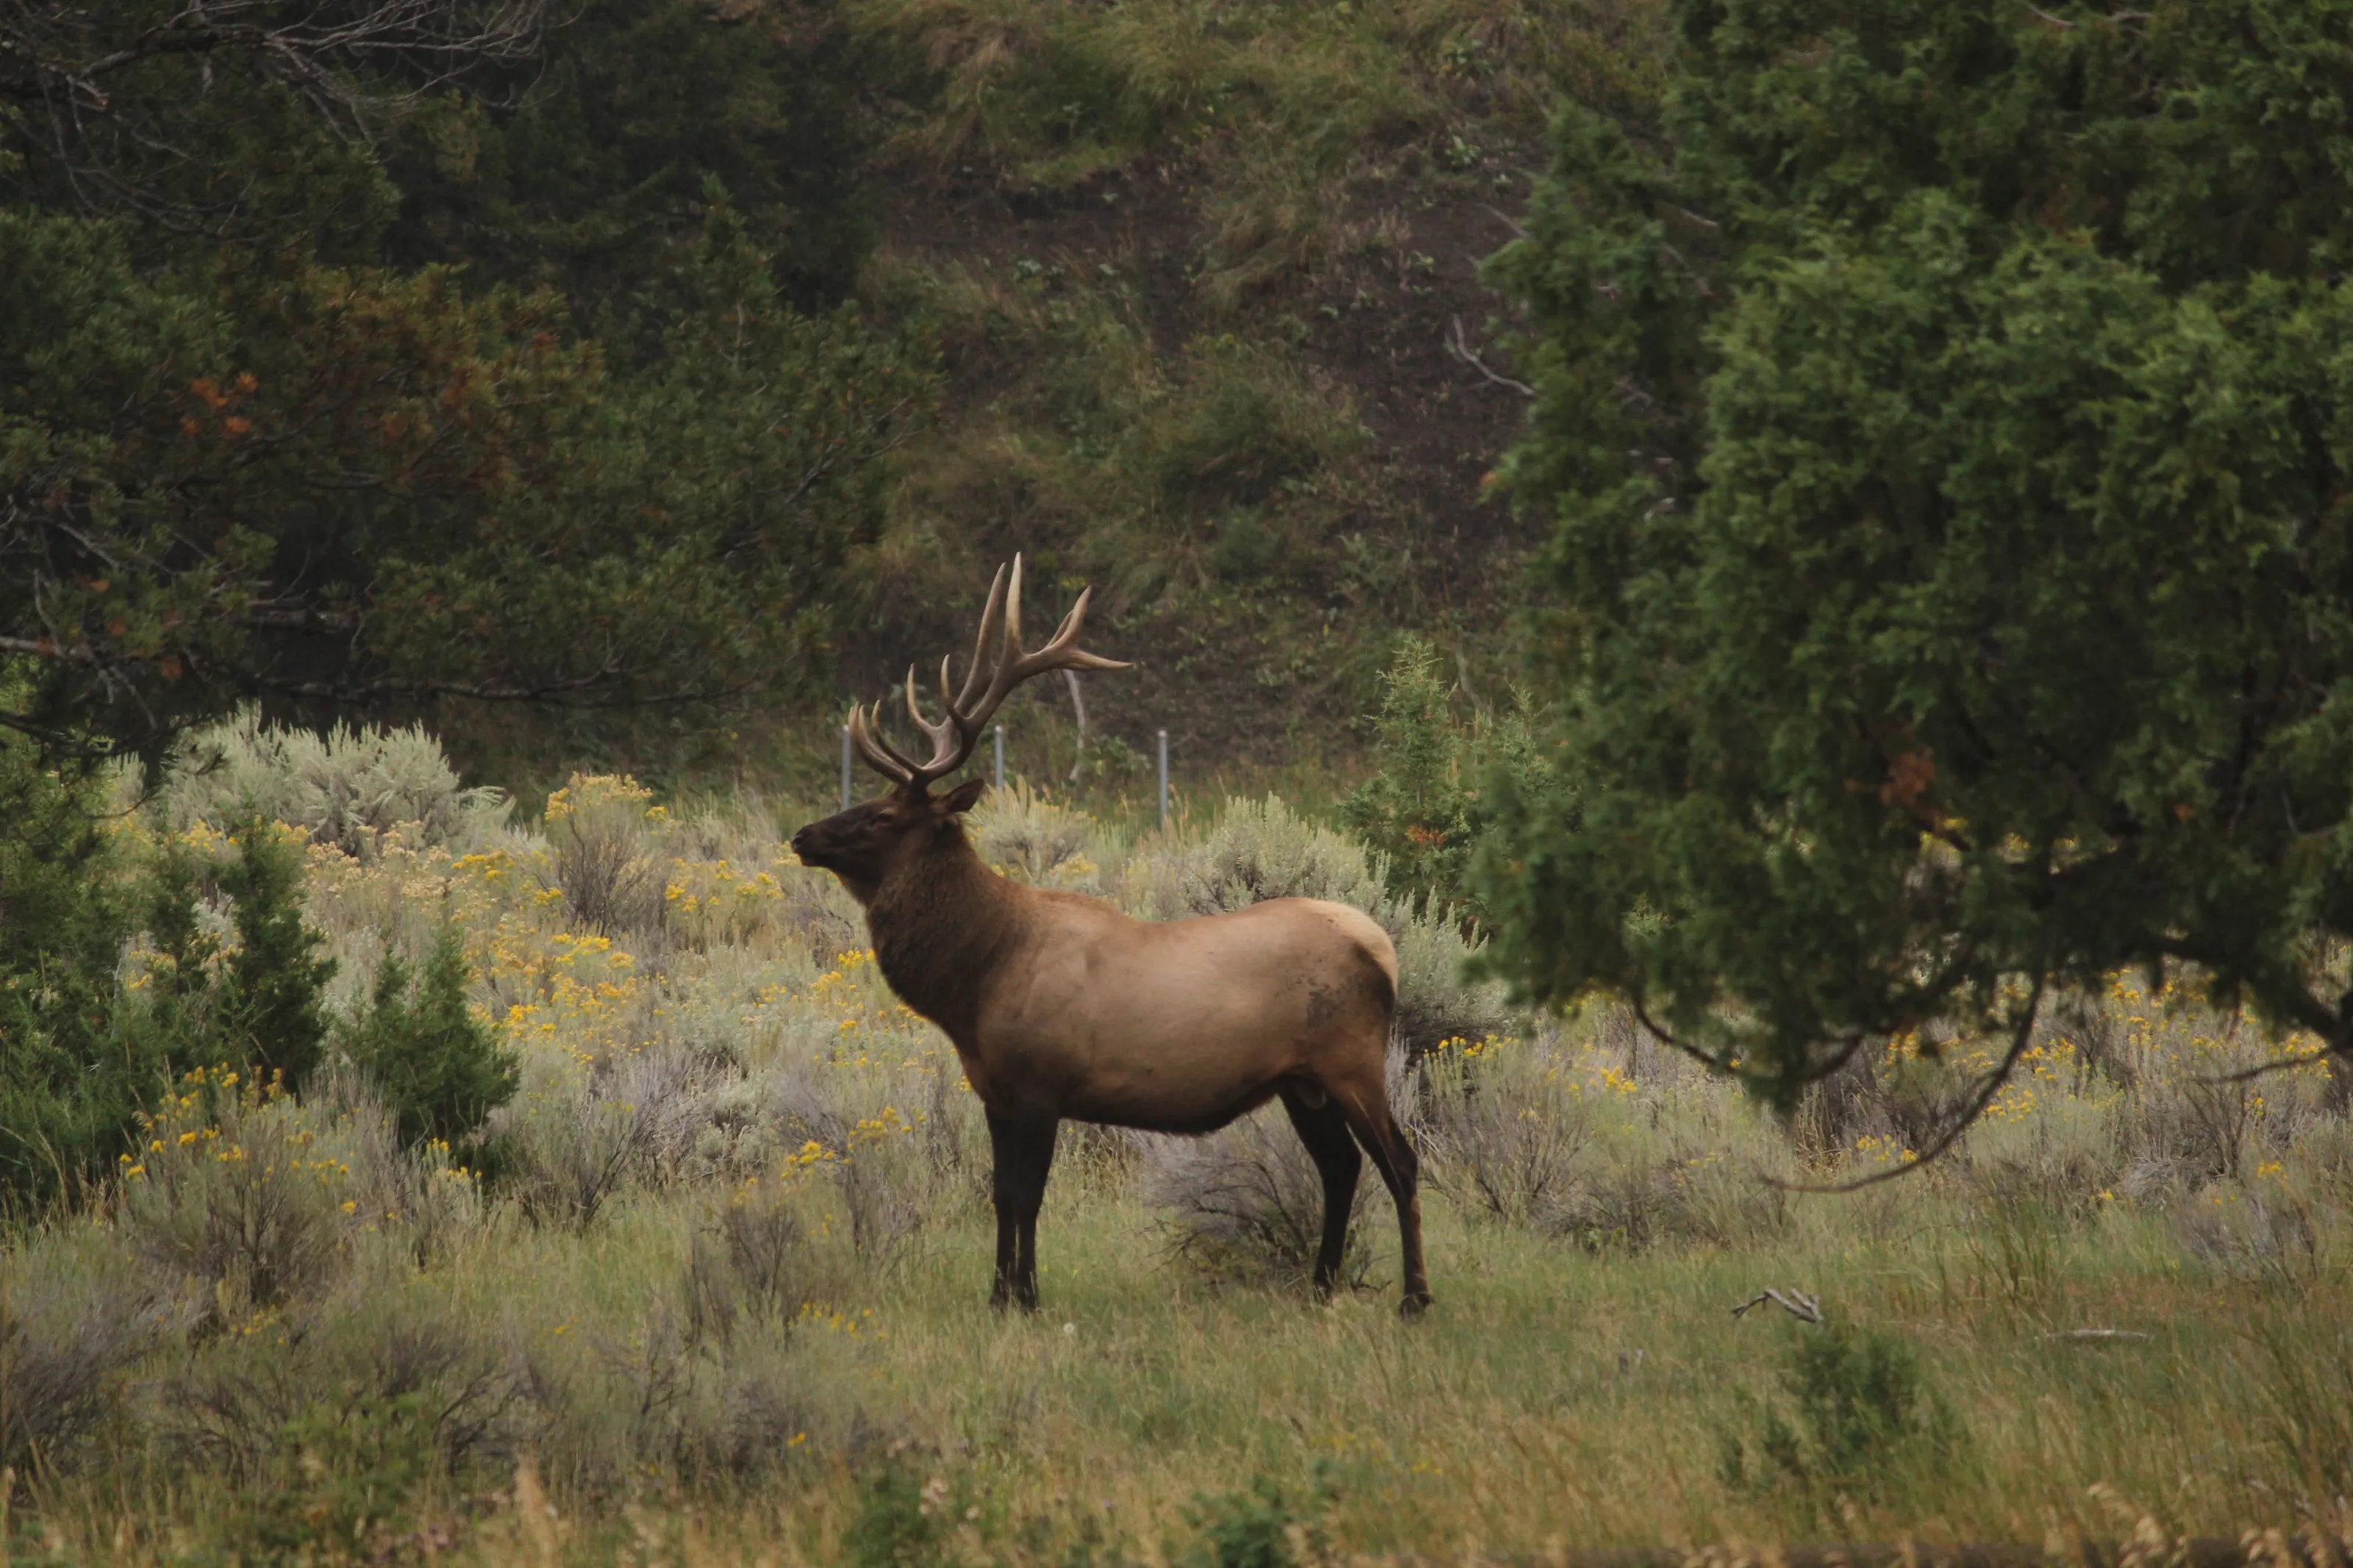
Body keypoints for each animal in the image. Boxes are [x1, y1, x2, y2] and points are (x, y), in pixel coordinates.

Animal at [789, 558, 1431, 1318]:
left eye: (885, 816)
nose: (803, 835)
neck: (975, 982)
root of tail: (1384, 948)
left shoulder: (1042, 1084)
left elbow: (1027, 1197)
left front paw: (1027, 1296)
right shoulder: (995, 1090)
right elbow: (1000, 1197)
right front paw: (999, 1295)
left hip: (1351, 1058)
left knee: (1399, 1159)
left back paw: (1414, 1297)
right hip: (1300, 1079)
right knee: (1341, 1166)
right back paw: (1321, 1283)